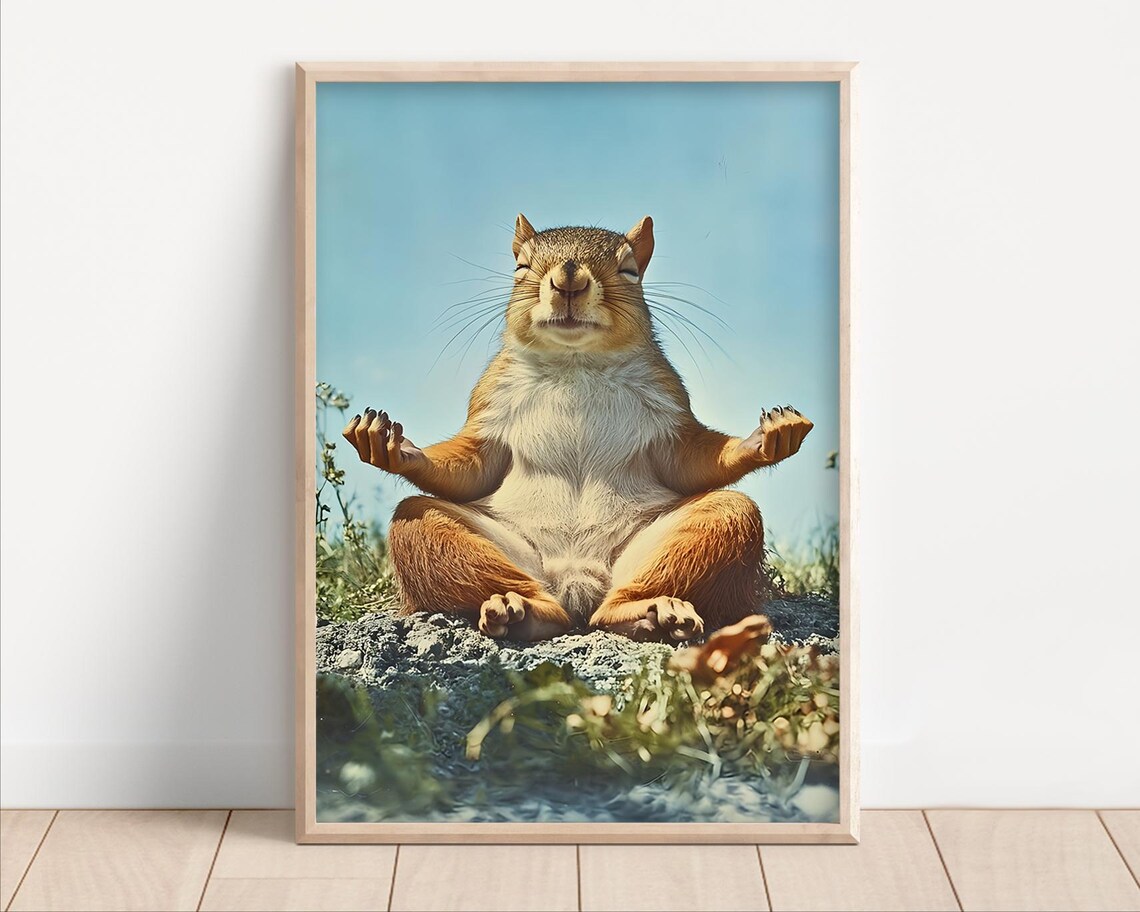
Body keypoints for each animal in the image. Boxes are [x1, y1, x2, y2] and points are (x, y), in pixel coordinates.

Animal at [343, 215, 813, 642]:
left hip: (686, 538)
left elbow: (693, 461)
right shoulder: (490, 405)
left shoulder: (667, 411)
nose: (568, 279)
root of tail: (577, 585)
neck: (576, 364)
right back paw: (522, 609)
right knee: (424, 525)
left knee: (717, 520)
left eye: (630, 271)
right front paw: (393, 445)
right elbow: (470, 467)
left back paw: (649, 611)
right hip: (461, 541)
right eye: (520, 267)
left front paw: (767, 437)